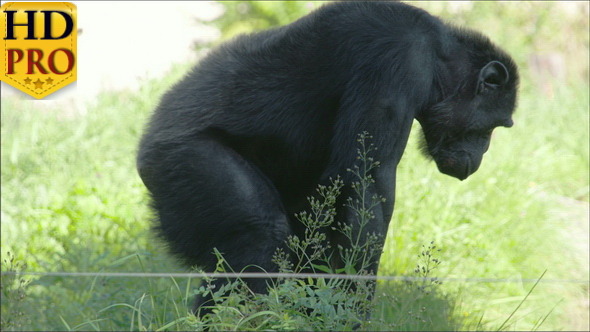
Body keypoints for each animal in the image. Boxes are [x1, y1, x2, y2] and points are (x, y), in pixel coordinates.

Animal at [136, 0, 520, 316]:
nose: (484, 149)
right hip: (182, 163)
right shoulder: (398, 58)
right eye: (494, 126)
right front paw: (351, 305)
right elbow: (366, 185)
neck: (439, 57)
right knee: (259, 237)